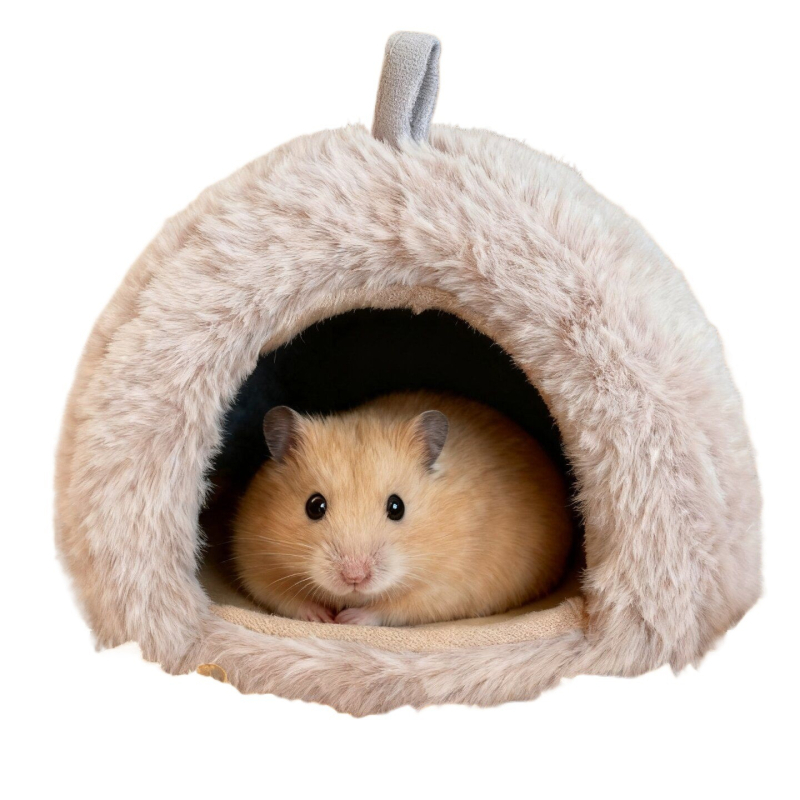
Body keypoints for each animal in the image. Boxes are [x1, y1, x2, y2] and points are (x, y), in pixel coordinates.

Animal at [232, 391, 572, 626]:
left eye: (397, 507)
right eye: (314, 506)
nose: (354, 577)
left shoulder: (446, 585)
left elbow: (392, 607)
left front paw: (348, 619)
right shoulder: (254, 561)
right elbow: (283, 597)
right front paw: (322, 616)